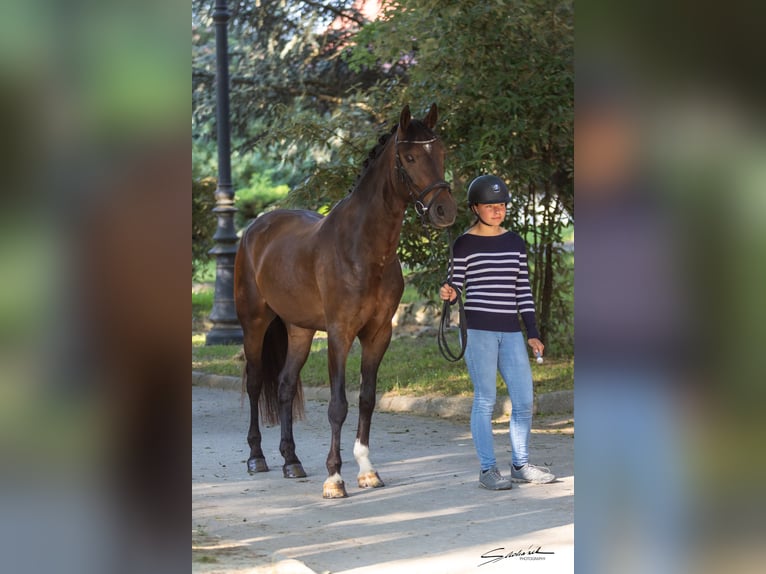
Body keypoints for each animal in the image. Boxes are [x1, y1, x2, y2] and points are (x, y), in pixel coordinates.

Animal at [234, 104, 460, 500]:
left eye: (442, 153)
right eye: (410, 157)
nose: (444, 211)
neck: (363, 250)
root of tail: (253, 230)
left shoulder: (378, 334)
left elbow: (367, 399)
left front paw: (367, 471)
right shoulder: (340, 333)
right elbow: (338, 405)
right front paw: (334, 478)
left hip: (299, 330)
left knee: (284, 385)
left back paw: (291, 462)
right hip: (255, 326)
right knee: (256, 383)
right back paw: (256, 457)